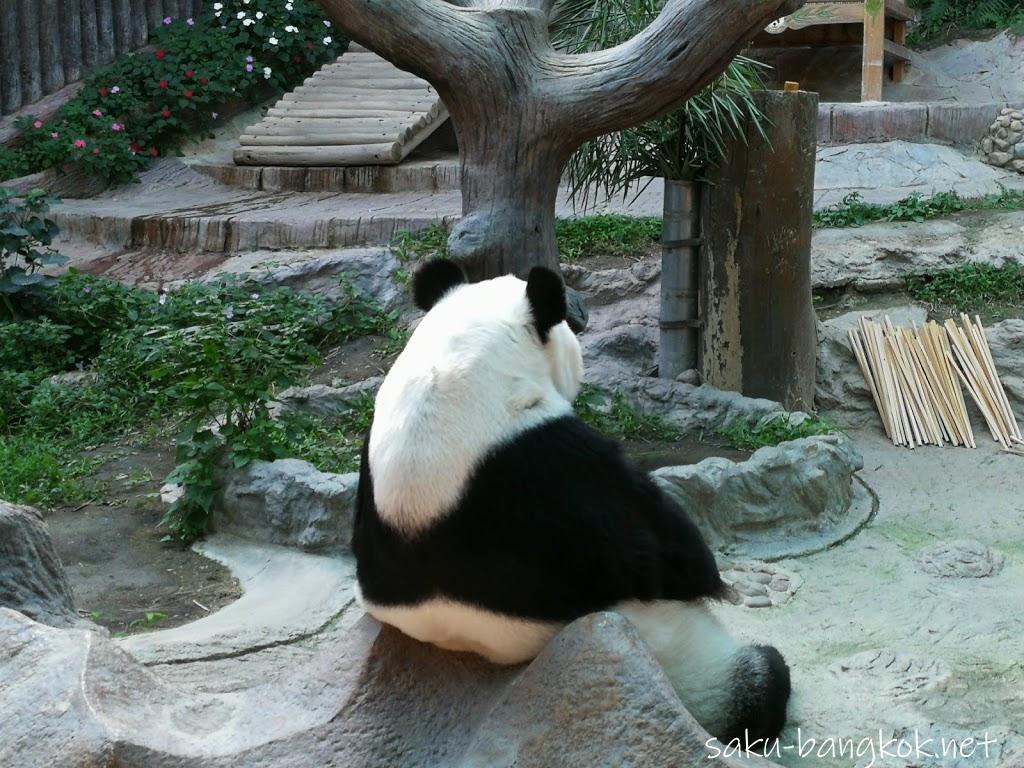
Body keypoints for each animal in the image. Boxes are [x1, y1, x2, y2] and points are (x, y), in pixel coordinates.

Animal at [352, 260, 790, 745]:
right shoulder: (556, 469)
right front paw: (714, 575)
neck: (450, 378)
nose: (580, 314)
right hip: (675, 648)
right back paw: (765, 688)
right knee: (744, 684)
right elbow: (669, 556)